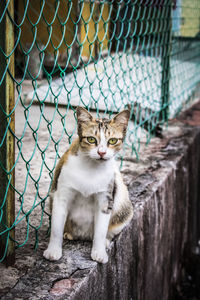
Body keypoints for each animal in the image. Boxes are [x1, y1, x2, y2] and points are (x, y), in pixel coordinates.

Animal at [44, 107, 134, 262]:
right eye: (91, 139)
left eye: (112, 141)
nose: (102, 152)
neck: (91, 167)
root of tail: (84, 235)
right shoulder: (61, 195)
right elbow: (56, 227)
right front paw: (53, 250)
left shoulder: (105, 198)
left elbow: (101, 230)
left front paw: (99, 252)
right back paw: (69, 234)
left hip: (124, 208)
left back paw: (105, 241)